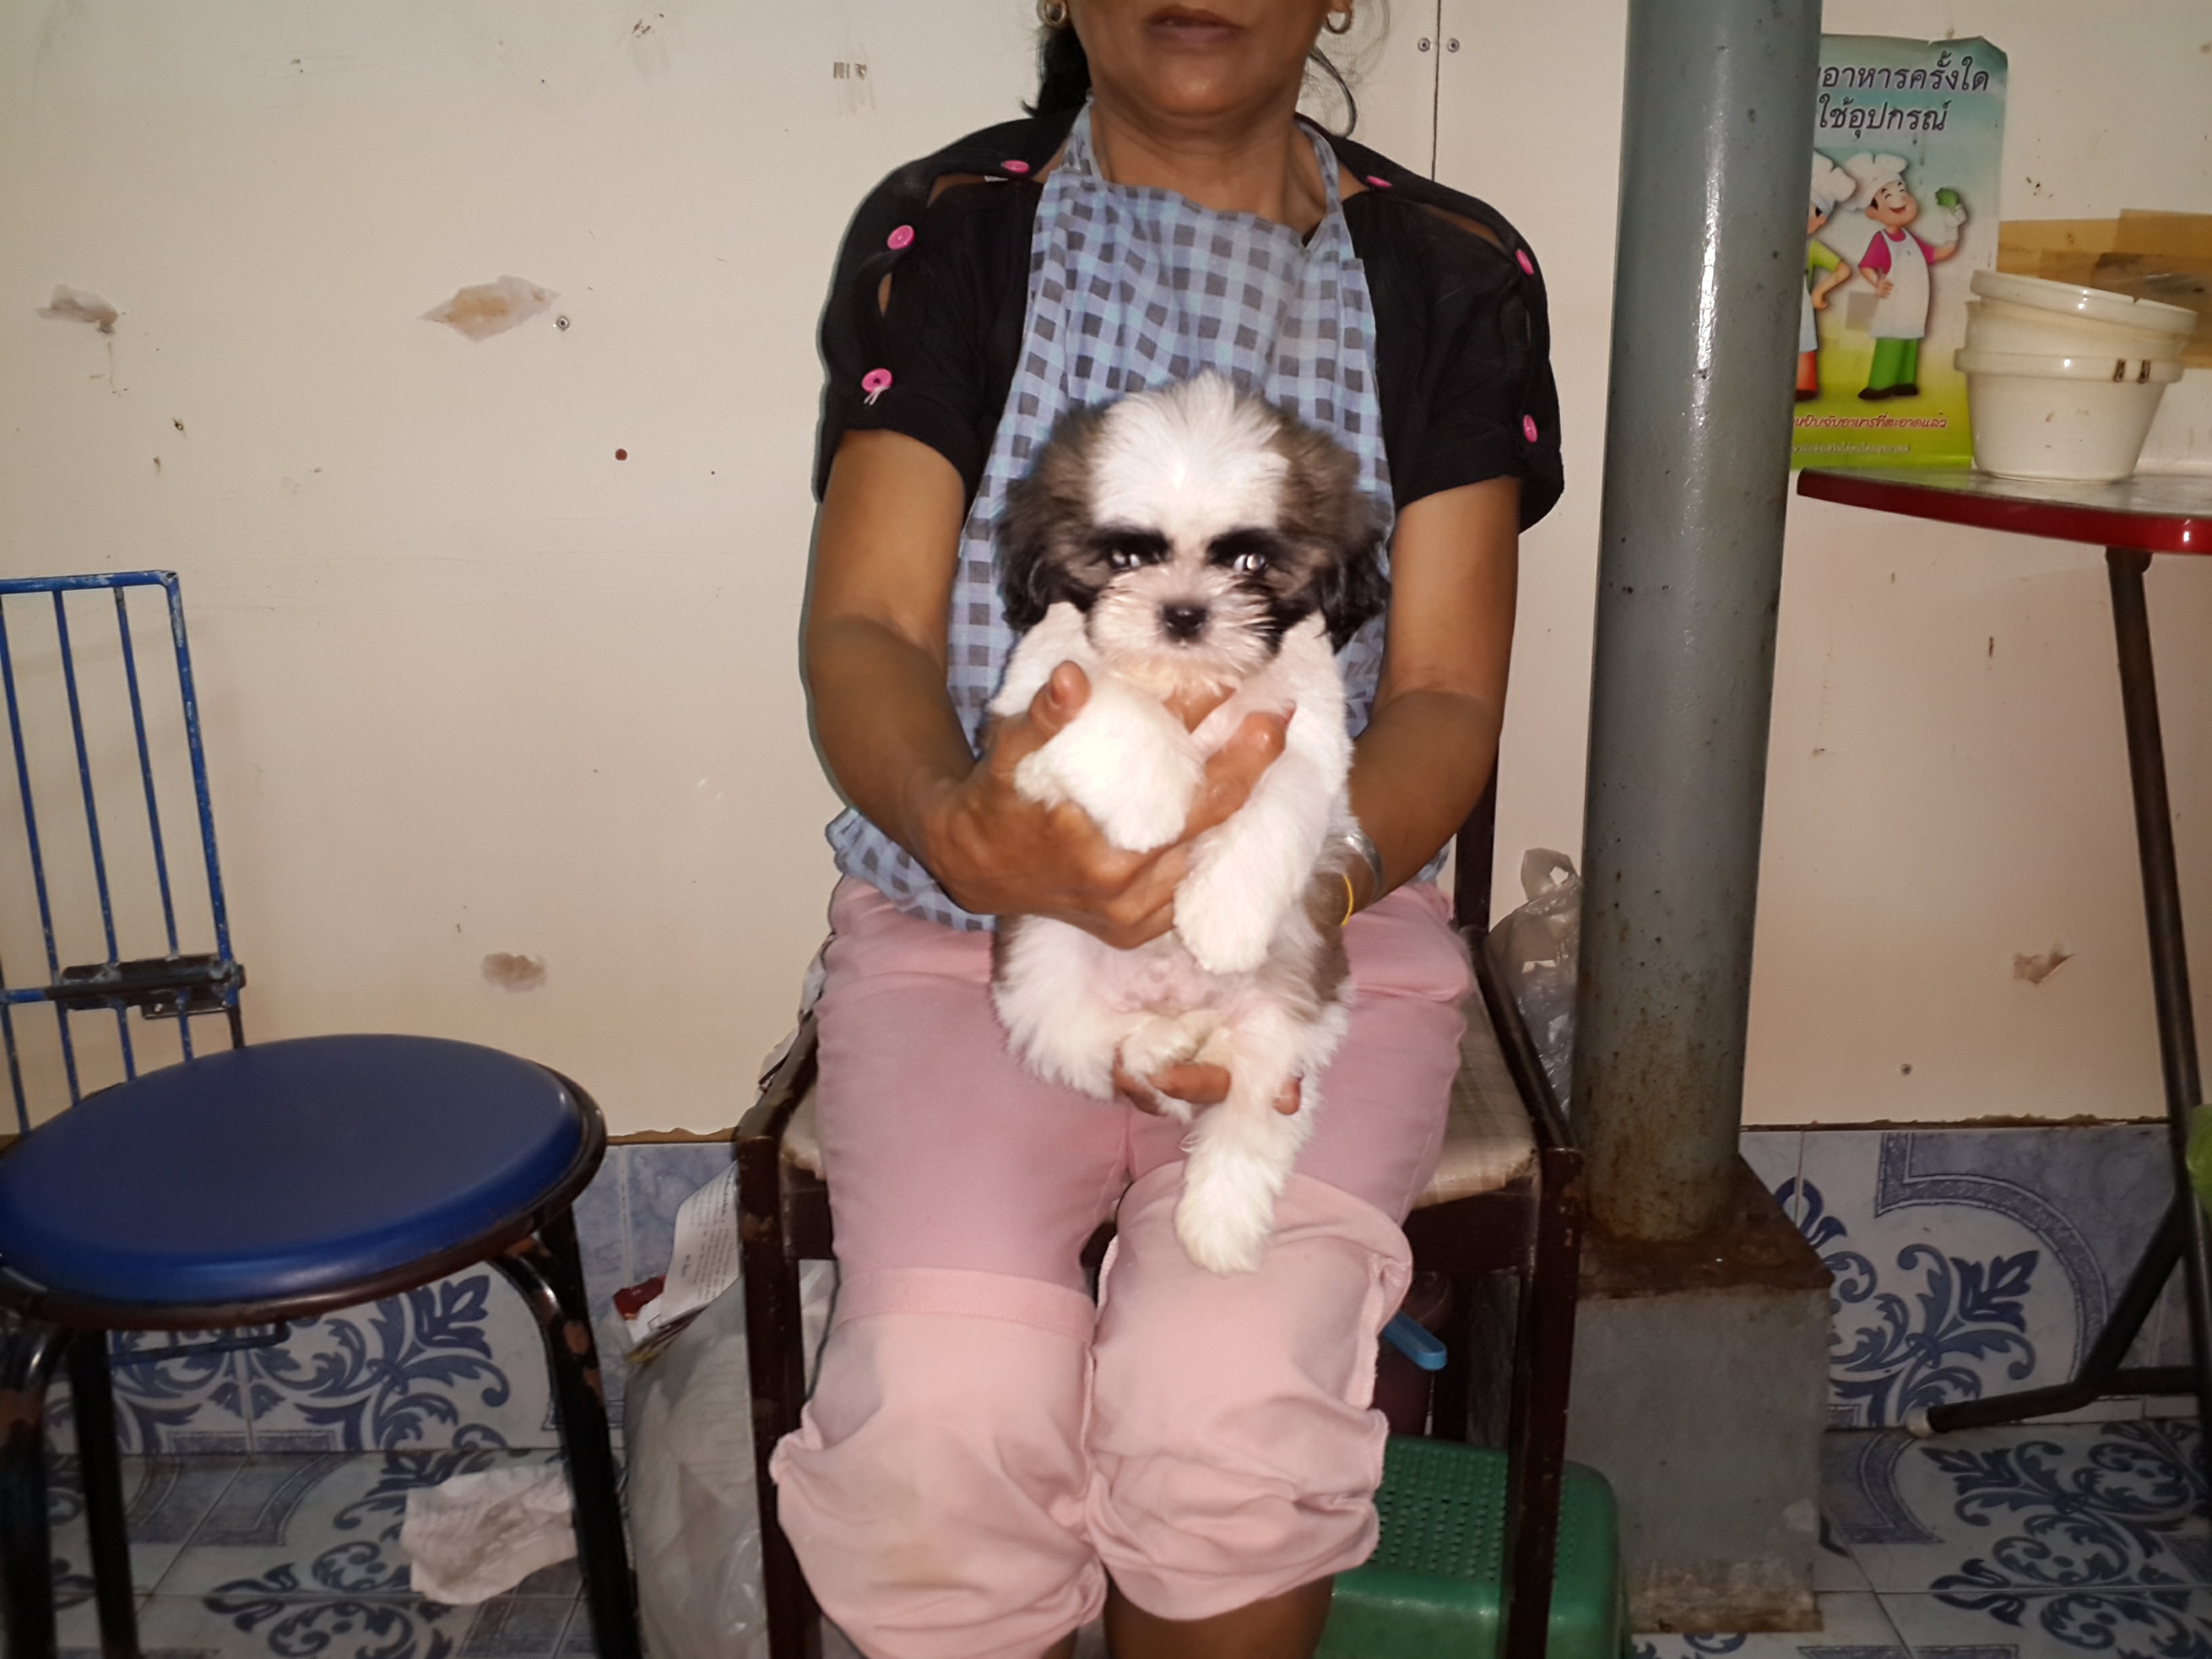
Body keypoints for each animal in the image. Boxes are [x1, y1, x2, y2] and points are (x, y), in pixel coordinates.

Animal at [986, 374, 1390, 1274]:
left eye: (1249, 563)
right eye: (1128, 558)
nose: (1183, 613)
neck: (1186, 682)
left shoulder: (1307, 740)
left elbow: (1281, 791)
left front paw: (1224, 919)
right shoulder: (1031, 715)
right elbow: (1108, 694)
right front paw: (1155, 803)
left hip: (1297, 995)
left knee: (1255, 1105)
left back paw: (1219, 1218)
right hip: (1039, 963)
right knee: (1087, 1044)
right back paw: (1158, 1047)